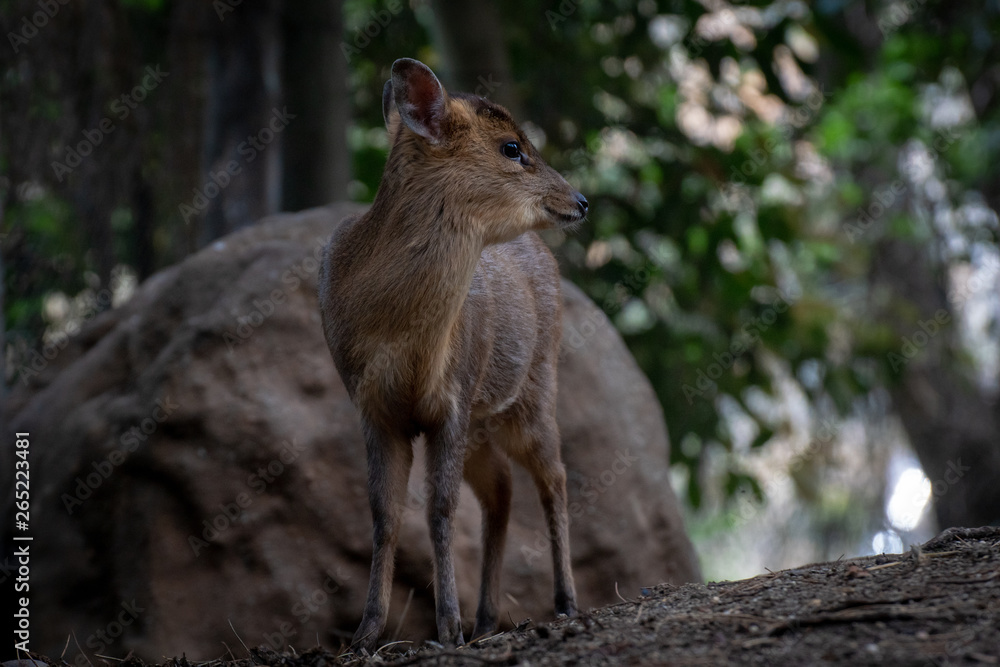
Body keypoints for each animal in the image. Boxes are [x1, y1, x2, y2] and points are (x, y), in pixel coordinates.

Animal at [318, 57, 584, 652]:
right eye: (512, 147)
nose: (580, 201)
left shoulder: (454, 398)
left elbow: (439, 511)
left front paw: (446, 626)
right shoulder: (372, 407)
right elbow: (384, 515)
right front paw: (365, 634)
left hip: (534, 387)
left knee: (553, 477)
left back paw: (564, 602)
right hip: (487, 423)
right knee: (503, 490)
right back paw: (487, 620)